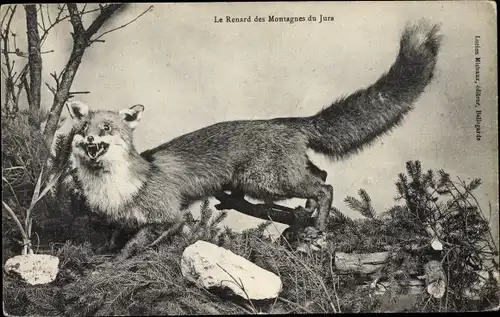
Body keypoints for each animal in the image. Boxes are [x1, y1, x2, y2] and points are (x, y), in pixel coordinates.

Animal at [62, 19, 442, 256]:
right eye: (83, 130)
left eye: (106, 129)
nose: (91, 143)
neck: (117, 188)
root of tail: (286, 122)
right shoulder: (121, 221)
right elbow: (115, 239)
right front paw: (103, 255)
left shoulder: (169, 215)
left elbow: (136, 245)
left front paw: (120, 262)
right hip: (277, 178)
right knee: (321, 176)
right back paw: (304, 217)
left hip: (265, 182)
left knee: (325, 187)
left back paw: (317, 225)